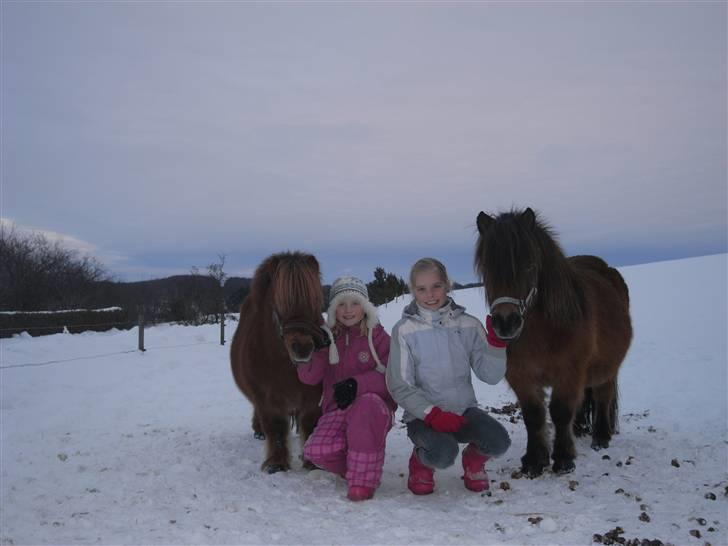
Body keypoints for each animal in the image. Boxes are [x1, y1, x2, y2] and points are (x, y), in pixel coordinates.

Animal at [232, 251, 326, 472]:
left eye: (316, 300)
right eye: (279, 304)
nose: (303, 348)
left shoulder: (313, 398)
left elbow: (310, 424)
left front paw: (311, 462)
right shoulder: (267, 399)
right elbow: (275, 429)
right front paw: (276, 463)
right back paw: (258, 431)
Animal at [474, 208, 636, 476]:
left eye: (529, 265)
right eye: (487, 267)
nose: (506, 323)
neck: (543, 333)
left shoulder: (569, 373)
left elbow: (560, 412)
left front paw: (563, 459)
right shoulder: (522, 376)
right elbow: (534, 415)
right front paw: (534, 460)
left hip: (607, 368)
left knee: (602, 395)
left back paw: (601, 437)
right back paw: (580, 430)